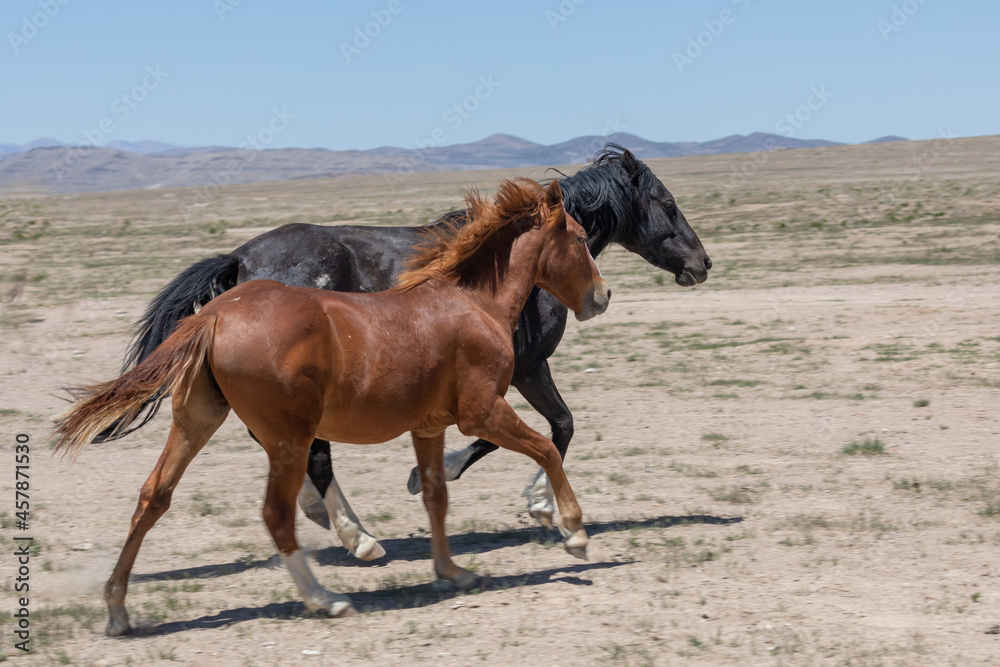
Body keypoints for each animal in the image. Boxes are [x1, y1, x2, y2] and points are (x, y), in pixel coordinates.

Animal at [53, 178, 610, 636]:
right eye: (581, 238)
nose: (602, 296)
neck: (473, 303)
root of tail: (213, 315)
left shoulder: (429, 426)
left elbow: (436, 494)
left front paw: (452, 571)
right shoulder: (483, 411)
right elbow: (547, 447)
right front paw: (573, 531)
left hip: (197, 421)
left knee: (154, 496)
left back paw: (117, 610)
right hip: (289, 436)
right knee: (278, 511)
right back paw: (328, 593)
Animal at [109, 144, 710, 558]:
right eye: (668, 203)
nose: (702, 264)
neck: (511, 271)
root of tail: (239, 259)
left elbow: (556, 428)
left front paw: (536, 503)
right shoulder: (526, 369)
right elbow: (554, 429)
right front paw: (536, 504)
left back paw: (321, 515)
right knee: (316, 456)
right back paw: (358, 537)